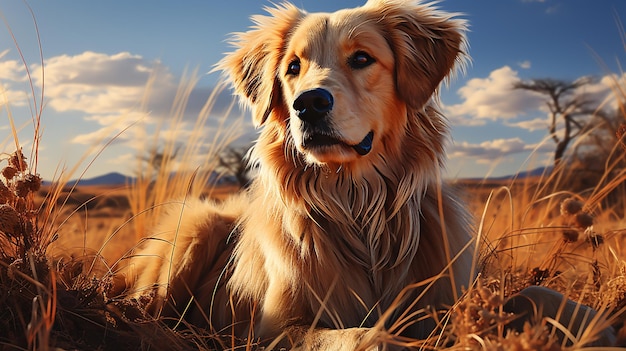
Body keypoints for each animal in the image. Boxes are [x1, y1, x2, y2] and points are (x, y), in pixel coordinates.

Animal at [120, 0, 472, 350]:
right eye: (292, 67)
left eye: (362, 58)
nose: (309, 103)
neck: (355, 203)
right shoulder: (275, 328)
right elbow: (363, 334)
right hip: (196, 228)